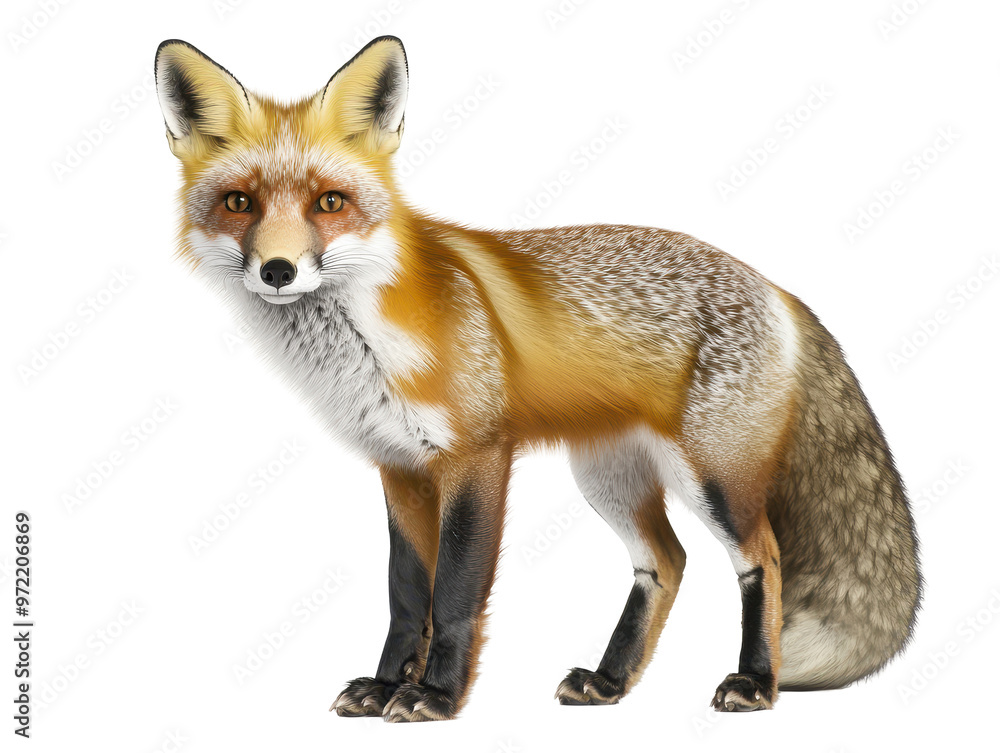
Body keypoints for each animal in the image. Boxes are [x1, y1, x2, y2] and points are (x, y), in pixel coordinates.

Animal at [154, 36, 921, 721]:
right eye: (239, 203)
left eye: (329, 202)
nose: (278, 270)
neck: (365, 347)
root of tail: (778, 289)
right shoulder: (398, 467)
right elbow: (406, 595)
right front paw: (385, 686)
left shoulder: (477, 456)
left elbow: (454, 596)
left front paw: (434, 697)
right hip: (608, 478)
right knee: (667, 561)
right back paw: (611, 681)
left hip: (714, 478)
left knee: (763, 558)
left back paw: (756, 683)